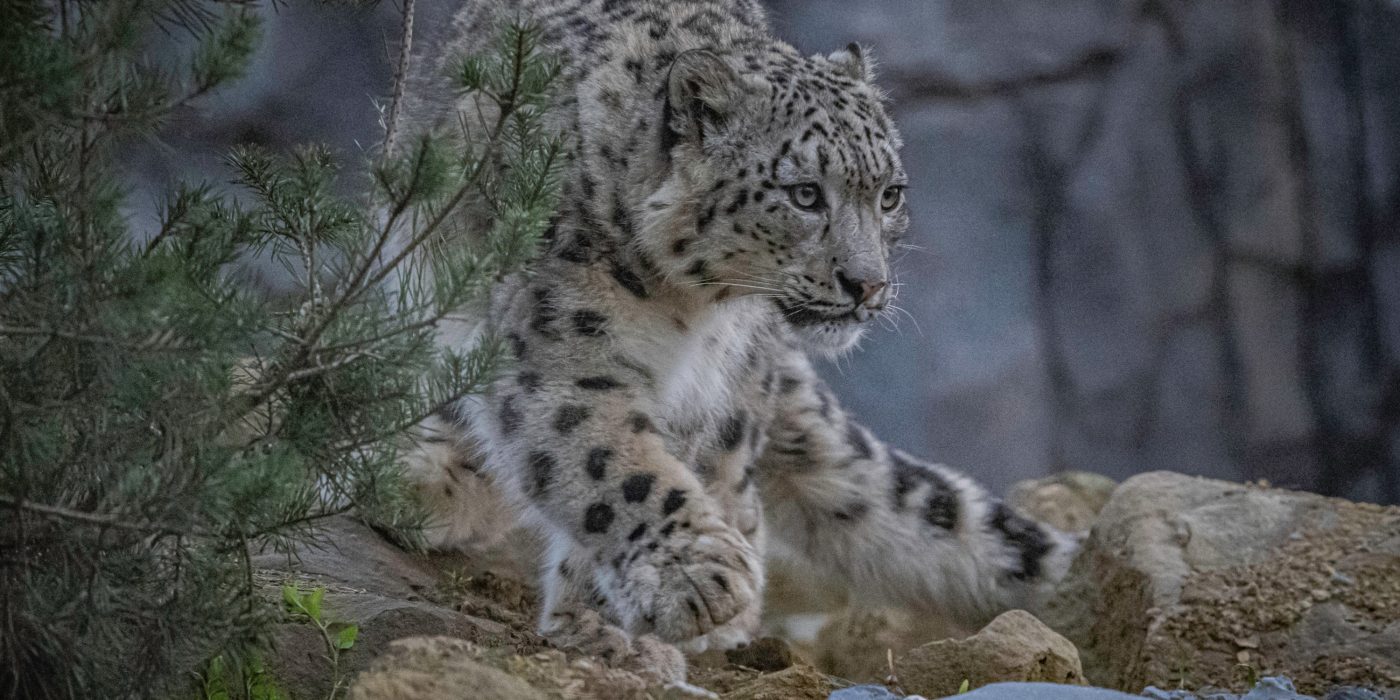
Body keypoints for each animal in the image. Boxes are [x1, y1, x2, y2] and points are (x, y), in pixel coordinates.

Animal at [397, 0, 1078, 683]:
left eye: (890, 195)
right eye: (804, 193)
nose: (868, 285)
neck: (687, 311)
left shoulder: (703, 390)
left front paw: (613, 624)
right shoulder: (564, 351)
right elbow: (607, 460)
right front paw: (694, 583)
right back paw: (426, 484)